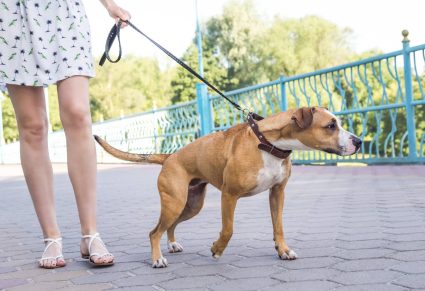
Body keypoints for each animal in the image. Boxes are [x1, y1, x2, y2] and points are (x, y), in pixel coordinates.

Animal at [94, 107, 360, 270]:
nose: (358, 141)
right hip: (175, 202)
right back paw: (158, 258)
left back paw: (171, 245)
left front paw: (283, 250)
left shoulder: (277, 193)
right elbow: (229, 230)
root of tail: (170, 157)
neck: (268, 143)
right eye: (331, 126)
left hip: (191, 205)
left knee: (169, 226)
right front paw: (217, 249)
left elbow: (279, 227)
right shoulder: (229, 195)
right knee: (154, 232)